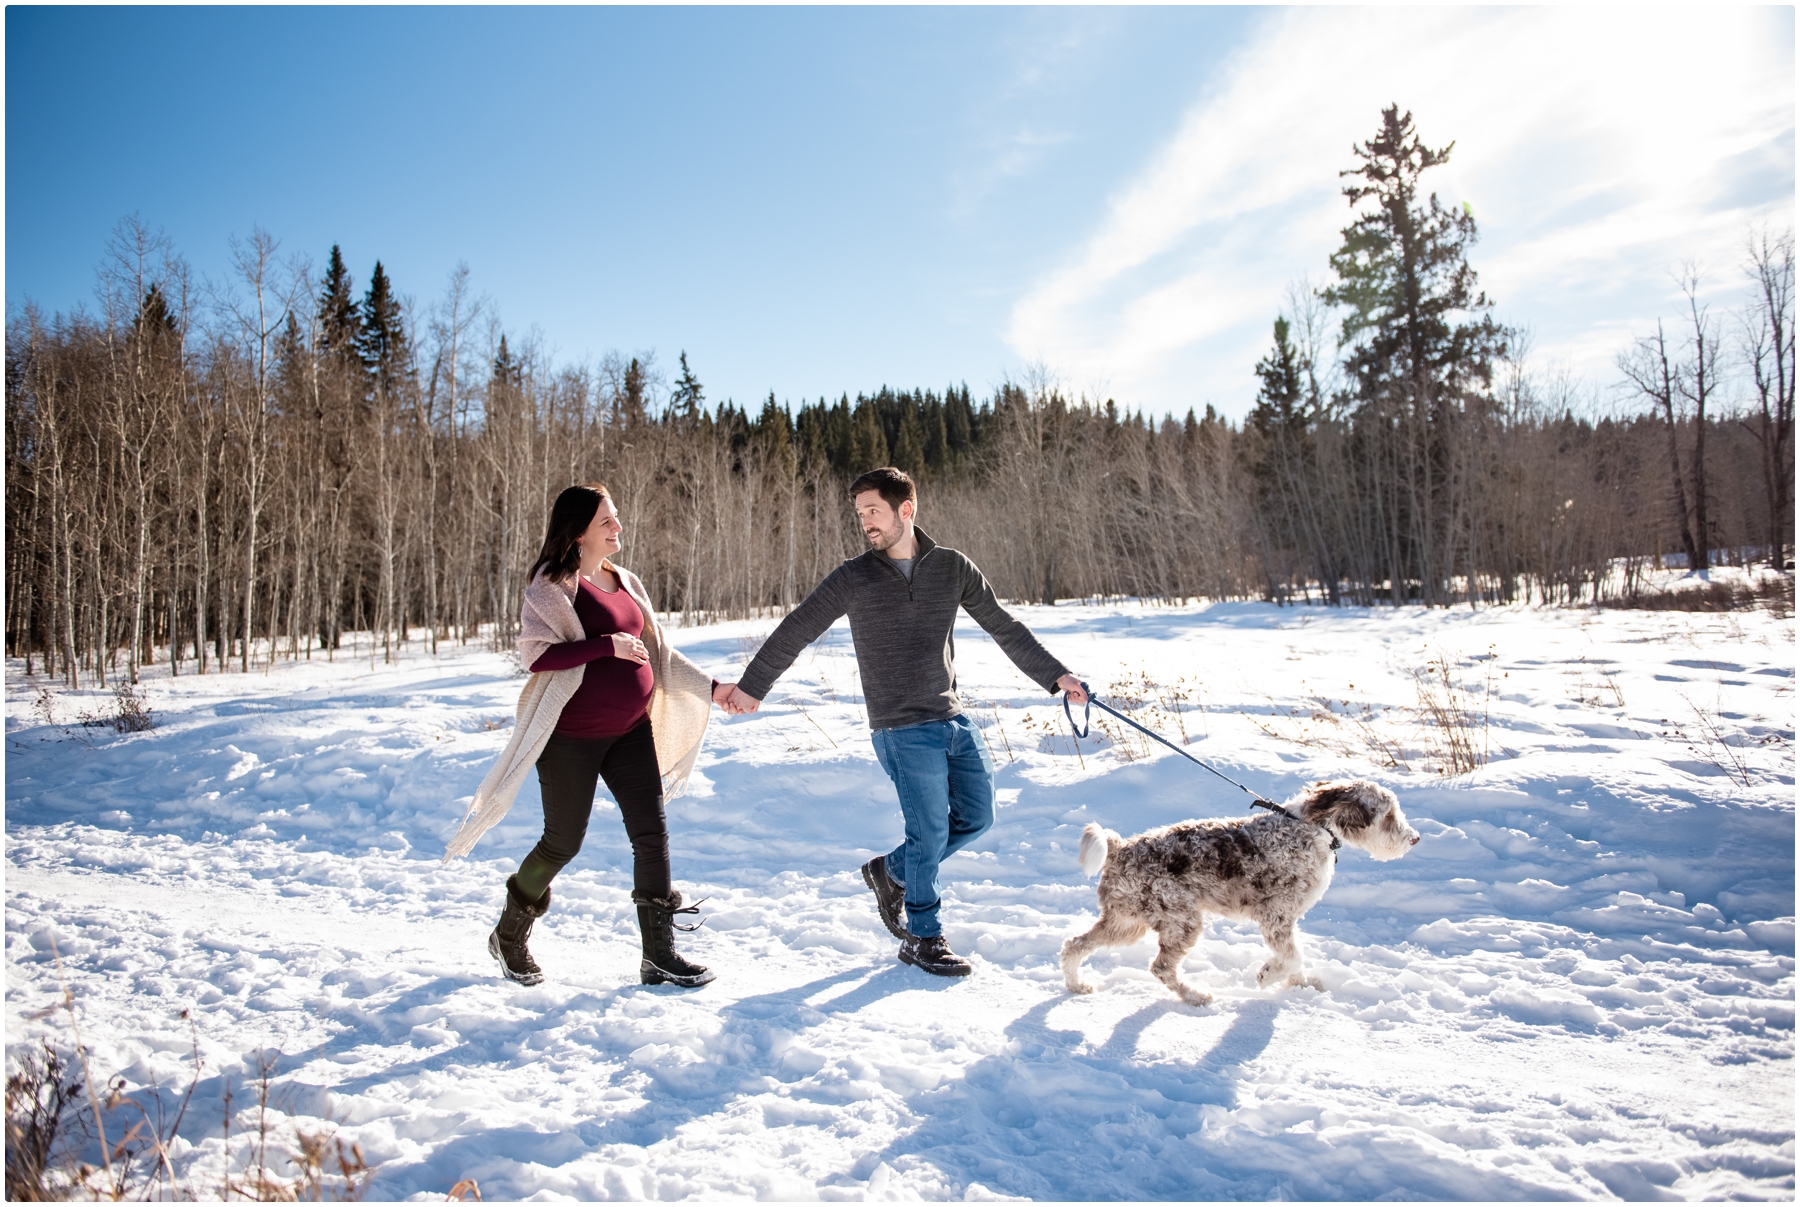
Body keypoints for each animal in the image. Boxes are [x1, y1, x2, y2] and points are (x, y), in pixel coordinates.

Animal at [1051, 780, 1418, 1007]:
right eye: (1388, 815)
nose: (1414, 839)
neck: (1313, 828)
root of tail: (1120, 848)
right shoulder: (1276, 916)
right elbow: (1291, 956)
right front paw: (1268, 976)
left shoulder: (1285, 921)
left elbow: (1295, 957)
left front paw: (1300, 986)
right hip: (1181, 920)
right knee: (1160, 968)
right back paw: (1196, 996)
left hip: (1126, 923)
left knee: (1074, 945)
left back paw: (1076, 986)